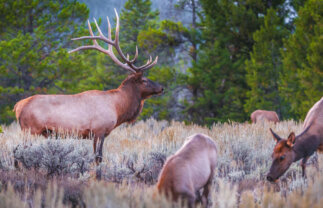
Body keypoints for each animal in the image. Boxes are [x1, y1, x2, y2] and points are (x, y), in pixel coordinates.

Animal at [13, 9, 163, 166]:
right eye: (144, 80)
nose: (162, 87)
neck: (117, 107)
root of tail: (17, 106)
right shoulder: (100, 130)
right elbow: (98, 157)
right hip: (31, 130)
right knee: (18, 150)